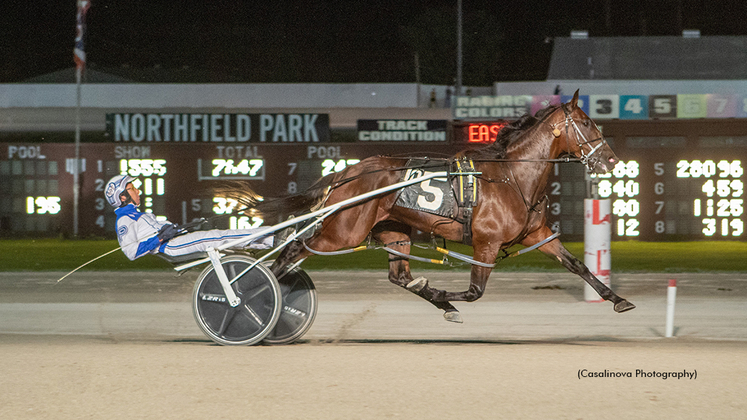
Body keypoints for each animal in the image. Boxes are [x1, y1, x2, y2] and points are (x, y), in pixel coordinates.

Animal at [237, 91, 636, 322]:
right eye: (586, 123)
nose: (612, 160)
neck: (513, 177)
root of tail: (346, 172)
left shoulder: (536, 234)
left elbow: (577, 265)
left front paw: (618, 299)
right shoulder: (486, 243)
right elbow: (475, 292)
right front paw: (446, 294)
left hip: (393, 230)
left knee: (399, 276)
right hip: (342, 232)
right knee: (294, 250)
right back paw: (251, 294)